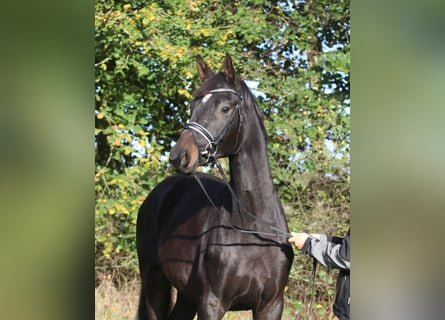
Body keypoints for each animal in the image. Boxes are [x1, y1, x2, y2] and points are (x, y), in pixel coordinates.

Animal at [137, 53, 294, 318]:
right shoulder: (212, 303)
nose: (180, 156)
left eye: (225, 108)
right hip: (154, 283)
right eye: (193, 106)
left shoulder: (271, 305)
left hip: (187, 296)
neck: (253, 228)